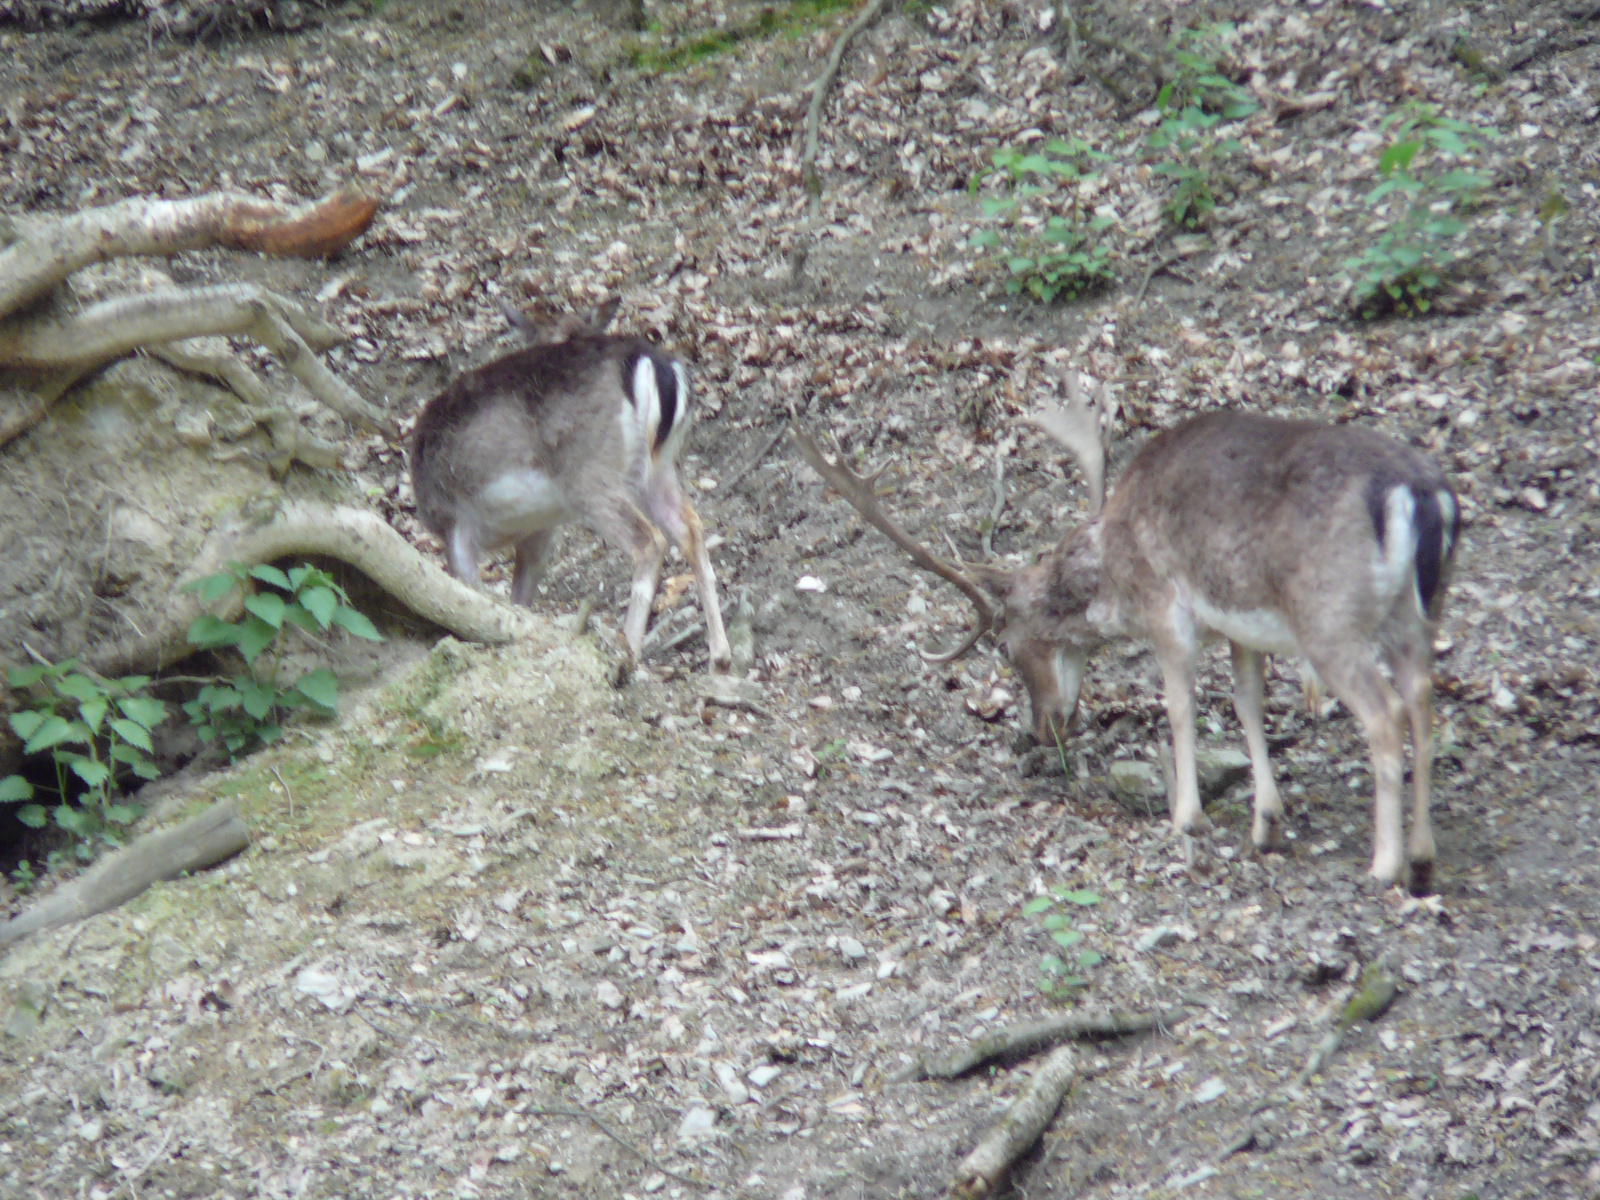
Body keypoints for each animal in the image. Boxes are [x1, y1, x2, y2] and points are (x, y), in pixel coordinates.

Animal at [412, 300, 736, 678]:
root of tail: (657, 366)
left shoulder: (454, 521)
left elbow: (469, 591)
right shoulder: (538, 529)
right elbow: (520, 599)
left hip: (590, 476)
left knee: (649, 540)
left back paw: (625, 655)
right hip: (659, 466)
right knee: (690, 528)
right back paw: (720, 655)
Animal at [793, 380, 1459, 896]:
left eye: (1005, 647)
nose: (1044, 729)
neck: (1113, 575)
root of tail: (1423, 496)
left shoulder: (1166, 608)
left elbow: (1182, 707)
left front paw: (1185, 817)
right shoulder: (1238, 626)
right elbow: (1247, 703)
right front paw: (1265, 823)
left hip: (1330, 617)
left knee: (1385, 715)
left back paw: (1384, 865)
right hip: (1418, 615)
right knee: (1423, 703)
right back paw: (1424, 859)